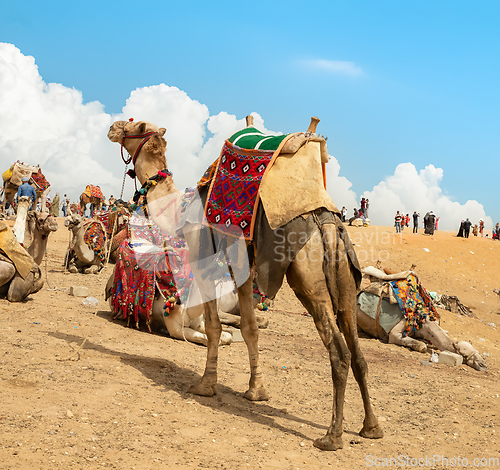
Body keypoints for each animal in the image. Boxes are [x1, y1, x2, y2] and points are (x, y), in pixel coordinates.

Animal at [108, 115, 382, 450]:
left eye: (134, 126)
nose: (113, 127)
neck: (179, 211)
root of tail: (327, 223)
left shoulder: (203, 265)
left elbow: (214, 329)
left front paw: (205, 385)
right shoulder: (244, 273)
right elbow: (250, 329)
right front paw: (256, 391)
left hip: (308, 280)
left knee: (340, 353)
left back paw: (332, 436)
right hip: (345, 277)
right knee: (358, 353)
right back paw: (371, 427)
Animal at [358, 268, 486, 370]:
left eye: (477, 351)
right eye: (463, 355)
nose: (483, 365)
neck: (424, 323)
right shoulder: (396, 331)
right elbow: (421, 346)